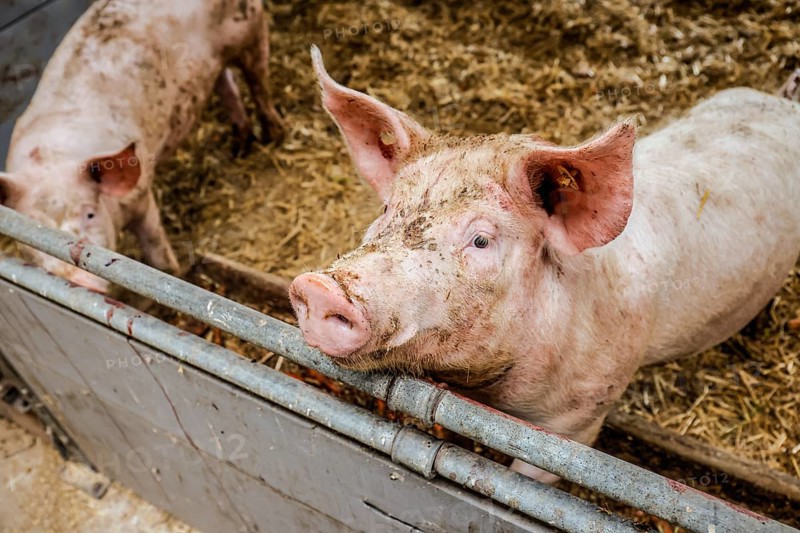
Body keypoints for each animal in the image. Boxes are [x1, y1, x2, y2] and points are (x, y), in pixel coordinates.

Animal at [0, 0, 285, 292]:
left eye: (90, 214)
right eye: (33, 227)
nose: (77, 280)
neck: (53, 157)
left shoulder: (142, 195)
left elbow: (157, 253)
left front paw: (171, 275)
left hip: (250, 26)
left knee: (258, 81)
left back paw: (275, 135)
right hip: (214, 62)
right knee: (226, 84)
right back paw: (241, 146)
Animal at [290, 47, 800, 482]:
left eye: (481, 239)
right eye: (386, 209)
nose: (319, 288)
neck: (491, 392)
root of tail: (781, 101)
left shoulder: (578, 420)